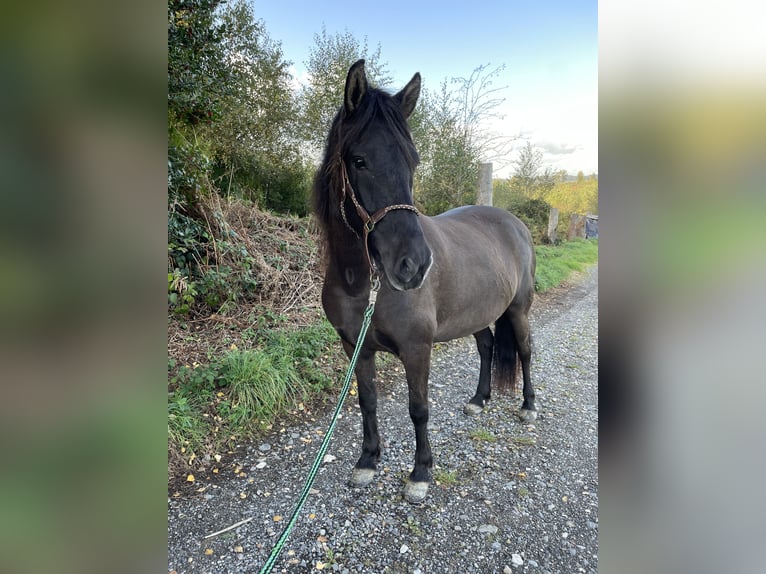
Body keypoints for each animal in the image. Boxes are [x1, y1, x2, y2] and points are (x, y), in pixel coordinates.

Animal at [316, 60, 536, 506]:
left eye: (413, 162)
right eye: (359, 161)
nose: (414, 266)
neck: (363, 285)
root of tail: (514, 222)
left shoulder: (417, 349)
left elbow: (419, 408)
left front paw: (420, 473)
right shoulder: (355, 346)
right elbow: (367, 401)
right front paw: (367, 462)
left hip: (518, 310)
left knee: (524, 351)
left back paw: (528, 406)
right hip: (477, 313)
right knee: (487, 345)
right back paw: (478, 400)